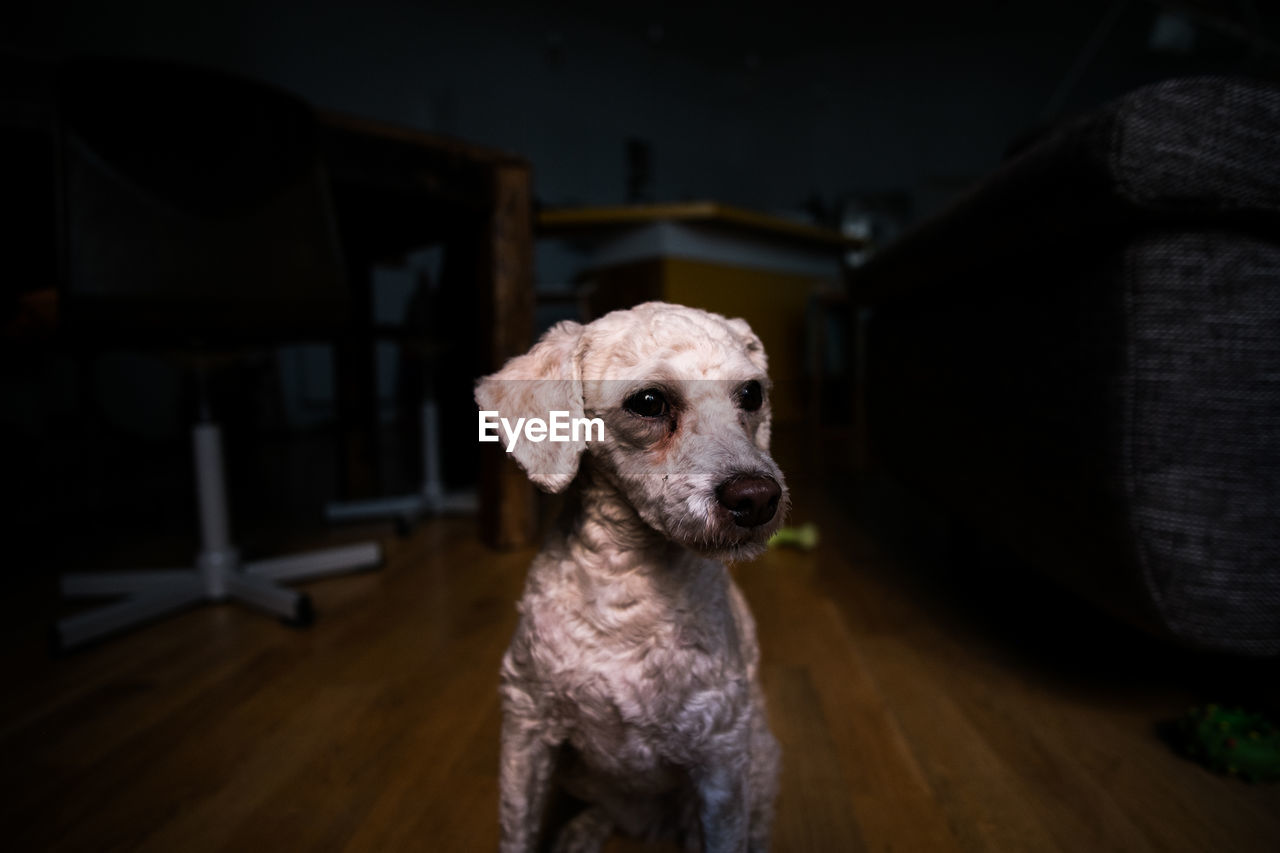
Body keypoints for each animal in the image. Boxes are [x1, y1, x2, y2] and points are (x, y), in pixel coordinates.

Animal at [478, 302, 783, 845]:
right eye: (648, 402)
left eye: (752, 393)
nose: (758, 497)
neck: (628, 591)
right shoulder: (525, 726)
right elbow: (517, 829)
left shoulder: (721, 759)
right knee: (610, 810)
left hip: (759, 761)